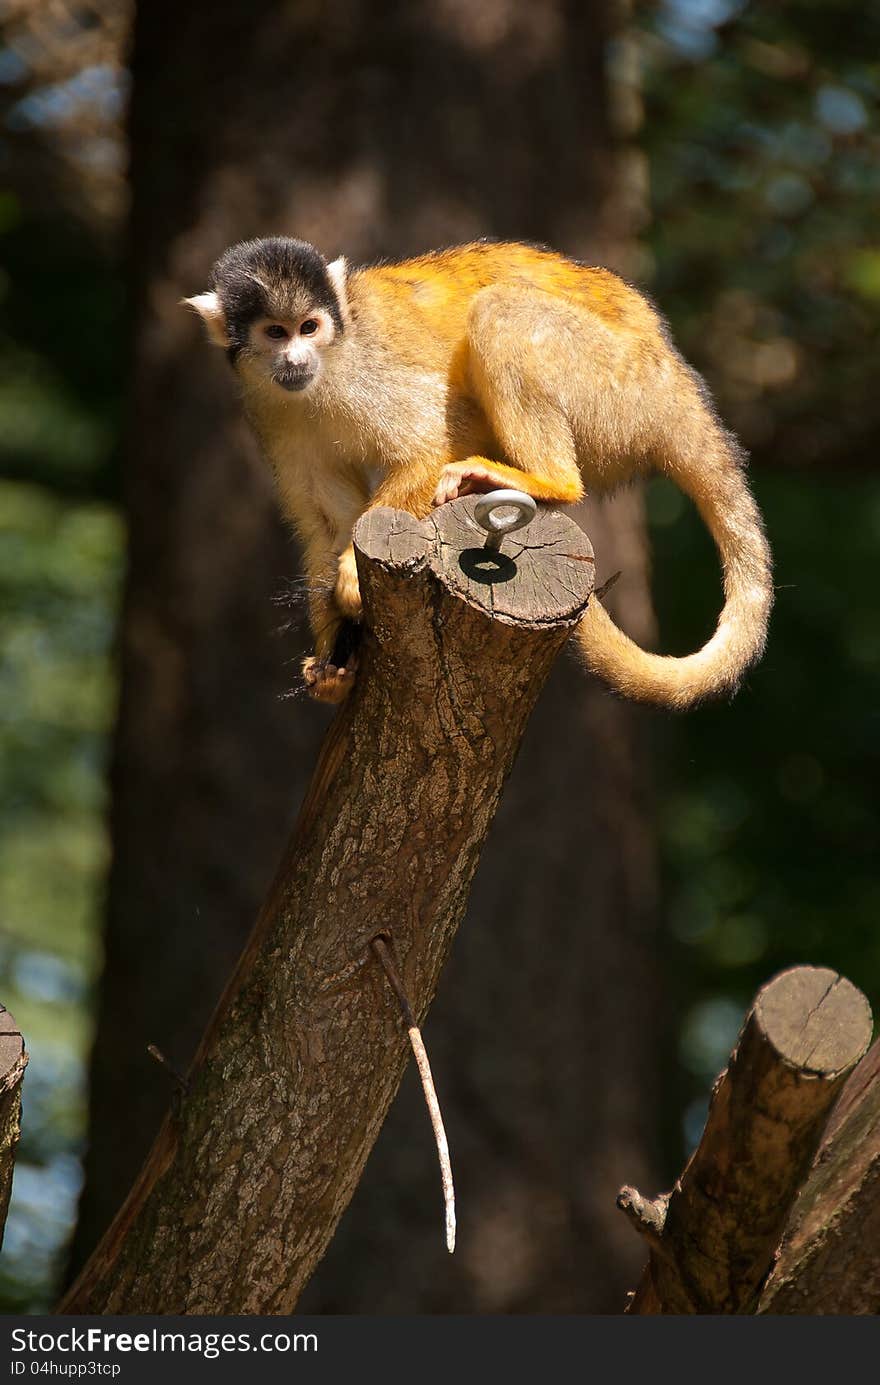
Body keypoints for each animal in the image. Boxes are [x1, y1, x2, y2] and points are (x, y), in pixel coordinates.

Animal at [184, 238, 770, 709]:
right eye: (275, 333)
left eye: (309, 328)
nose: (296, 360)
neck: (326, 374)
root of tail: (677, 386)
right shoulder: (268, 410)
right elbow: (324, 521)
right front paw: (334, 664)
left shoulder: (368, 371)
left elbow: (439, 438)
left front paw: (350, 571)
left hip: (617, 386)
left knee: (503, 312)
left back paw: (547, 481)